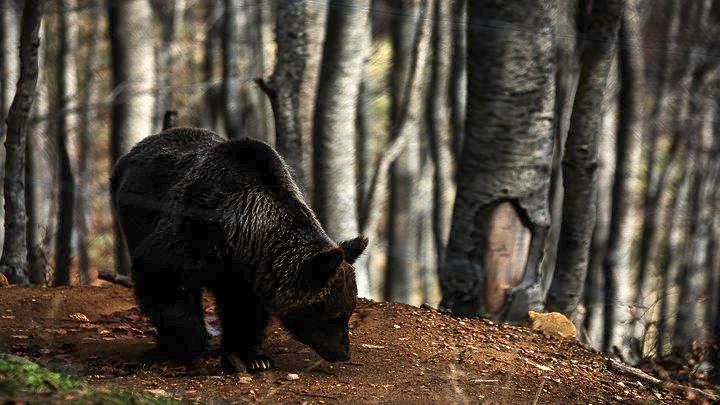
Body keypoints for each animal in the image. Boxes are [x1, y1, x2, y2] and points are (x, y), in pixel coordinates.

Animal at [109, 127, 368, 372]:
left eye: (348, 311)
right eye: (334, 315)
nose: (343, 353)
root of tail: (140, 145)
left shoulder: (248, 273)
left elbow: (243, 311)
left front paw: (252, 358)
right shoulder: (192, 235)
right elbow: (164, 280)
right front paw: (184, 348)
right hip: (133, 216)